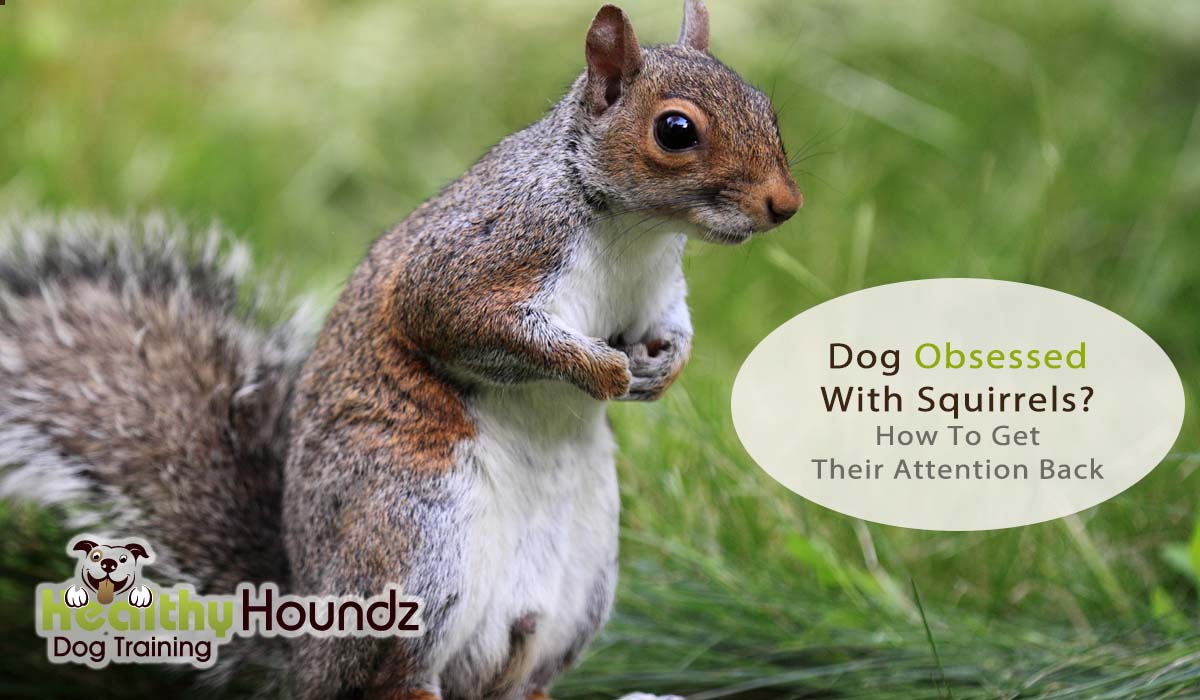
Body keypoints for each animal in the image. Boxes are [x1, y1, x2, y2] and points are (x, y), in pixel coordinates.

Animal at [0, 1, 800, 698]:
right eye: (675, 130)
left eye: (767, 105)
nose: (784, 205)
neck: (633, 232)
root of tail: (305, 646)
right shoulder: (479, 260)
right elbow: (467, 323)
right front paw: (600, 368)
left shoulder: (659, 291)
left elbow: (675, 328)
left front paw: (663, 370)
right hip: (412, 534)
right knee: (388, 678)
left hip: (584, 576)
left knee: (519, 676)